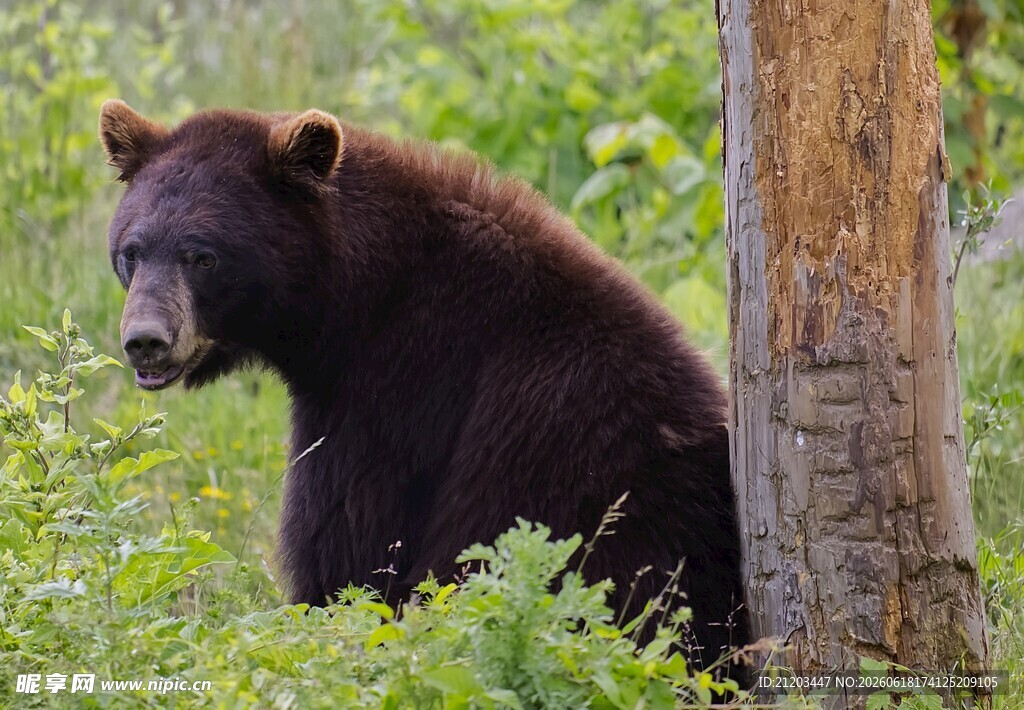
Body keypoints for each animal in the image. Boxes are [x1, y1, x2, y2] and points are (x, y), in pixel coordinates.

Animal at [98, 100, 750, 676]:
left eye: (202, 256)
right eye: (131, 250)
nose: (146, 340)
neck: (360, 296)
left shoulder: (402, 384)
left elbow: (352, 543)